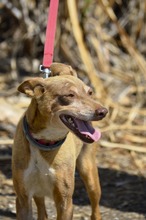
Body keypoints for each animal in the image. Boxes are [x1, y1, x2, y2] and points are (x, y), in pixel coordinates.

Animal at [12, 62, 107, 219]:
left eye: (90, 93)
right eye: (69, 95)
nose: (103, 112)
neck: (44, 143)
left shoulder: (65, 201)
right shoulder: (22, 199)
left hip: (89, 174)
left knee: (95, 208)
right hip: (38, 191)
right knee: (42, 211)